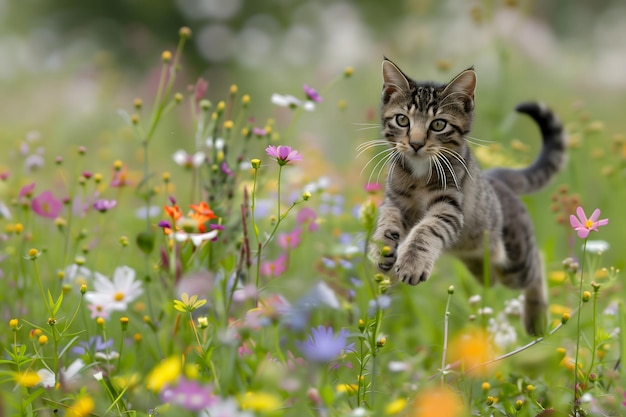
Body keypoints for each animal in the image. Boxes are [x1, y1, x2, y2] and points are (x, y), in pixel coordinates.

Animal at [366, 58, 564, 334]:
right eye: (402, 120)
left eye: (438, 124)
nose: (415, 143)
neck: (418, 175)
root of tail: (497, 177)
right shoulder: (394, 201)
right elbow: (386, 221)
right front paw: (381, 248)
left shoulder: (450, 206)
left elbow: (426, 229)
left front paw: (413, 262)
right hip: (481, 264)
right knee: (492, 279)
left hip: (515, 262)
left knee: (536, 262)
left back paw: (536, 318)